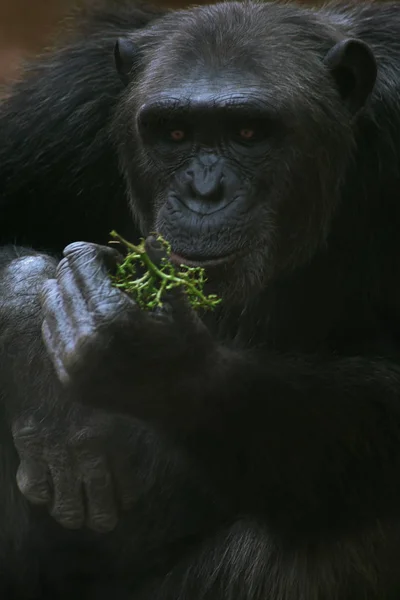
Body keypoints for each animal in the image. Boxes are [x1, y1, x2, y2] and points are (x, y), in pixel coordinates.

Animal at [0, 0, 400, 596]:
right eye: (175, 132)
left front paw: (153, 361)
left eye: (250, 131)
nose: (204, 191)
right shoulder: (64, 105)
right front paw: (31, 327)